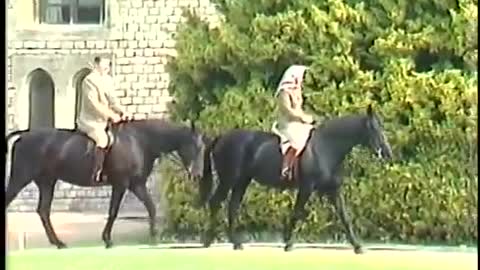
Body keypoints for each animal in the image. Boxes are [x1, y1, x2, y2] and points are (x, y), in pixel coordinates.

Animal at [5, 118, 204, 249]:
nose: (197, 175)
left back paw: (58, 242)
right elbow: (113, 212)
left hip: (47, 182)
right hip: (20, 178)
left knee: (44, 211)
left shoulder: (136, 184)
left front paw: (154, 236)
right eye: (196, 147)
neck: (138, 140)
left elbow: (151, 207)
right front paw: (107, 239)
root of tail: (24, 136)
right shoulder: (121, 184)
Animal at [199, 105, 394, 253]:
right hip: (229, 180)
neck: (325, 147)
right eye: (373, 128)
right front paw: (288, 243)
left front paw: (357, 246)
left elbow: (344, 217)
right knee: (216, 203)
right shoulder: (307, 188)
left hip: (241, 182)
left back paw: (235, 243)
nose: (387, 153)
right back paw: (209, 241)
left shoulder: (333, 190)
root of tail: (221, 137)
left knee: (232, 207)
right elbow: (297, 213)